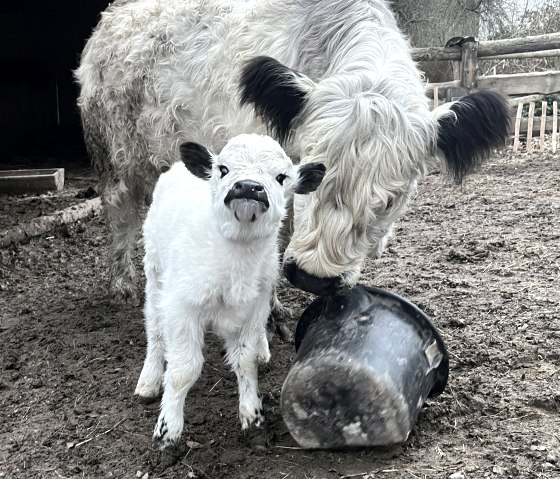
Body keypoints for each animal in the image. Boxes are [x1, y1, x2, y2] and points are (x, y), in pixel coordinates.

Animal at [76, 0, 510, 300]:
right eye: (311, 174)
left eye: (390, 201)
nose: (314, 279)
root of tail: (113, 16)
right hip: (112, 159)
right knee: (121, 216)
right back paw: (123, 285)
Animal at [135, 133, 324, 448]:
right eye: (223, 169)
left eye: (281, 177)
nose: (248, 187)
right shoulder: (182, 308)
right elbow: (183, 369)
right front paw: (167, 432)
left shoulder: (254, 307)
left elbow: (245, 361)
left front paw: (253, 418)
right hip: (155, 269)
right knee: (154, 325)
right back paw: (148, 380)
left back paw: (263, 350)